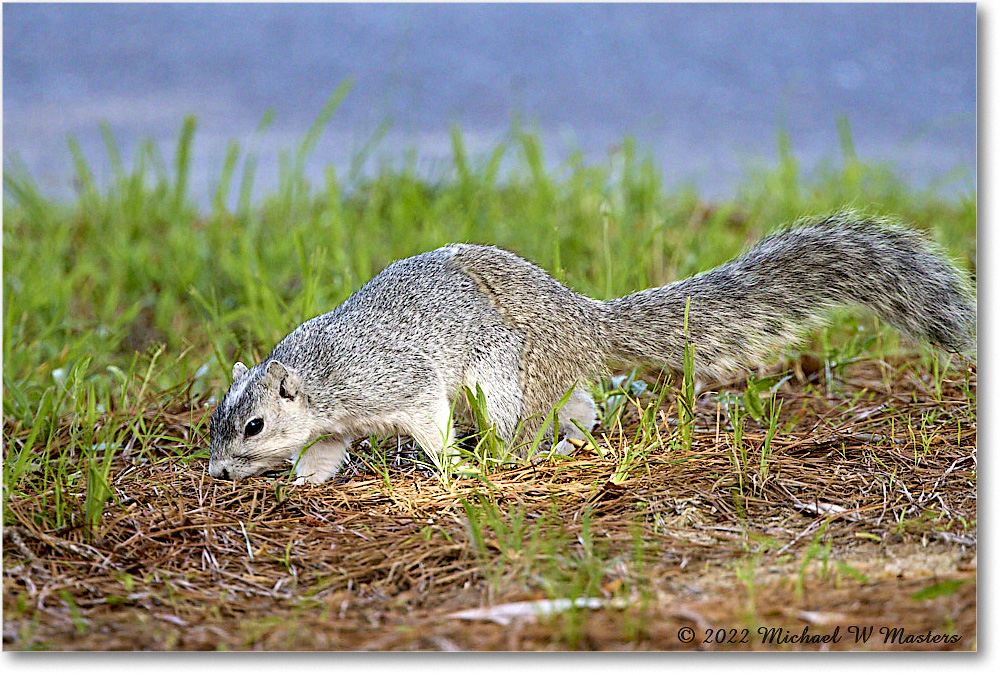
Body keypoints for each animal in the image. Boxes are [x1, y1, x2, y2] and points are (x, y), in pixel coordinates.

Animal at [207, 214, 972, 484]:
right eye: (216, 422)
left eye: (253, 425)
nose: (215, 473)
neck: (319, 375)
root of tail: (583, 322)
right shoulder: (338, 420)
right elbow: (325, 451)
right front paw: (305, 481)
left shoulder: (398, 380)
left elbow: (427, 421)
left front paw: (449, 465)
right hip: (552, 379)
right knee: (580, 406)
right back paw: (572, 437)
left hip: (503, 376)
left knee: (518, 426)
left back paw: (505, 457)